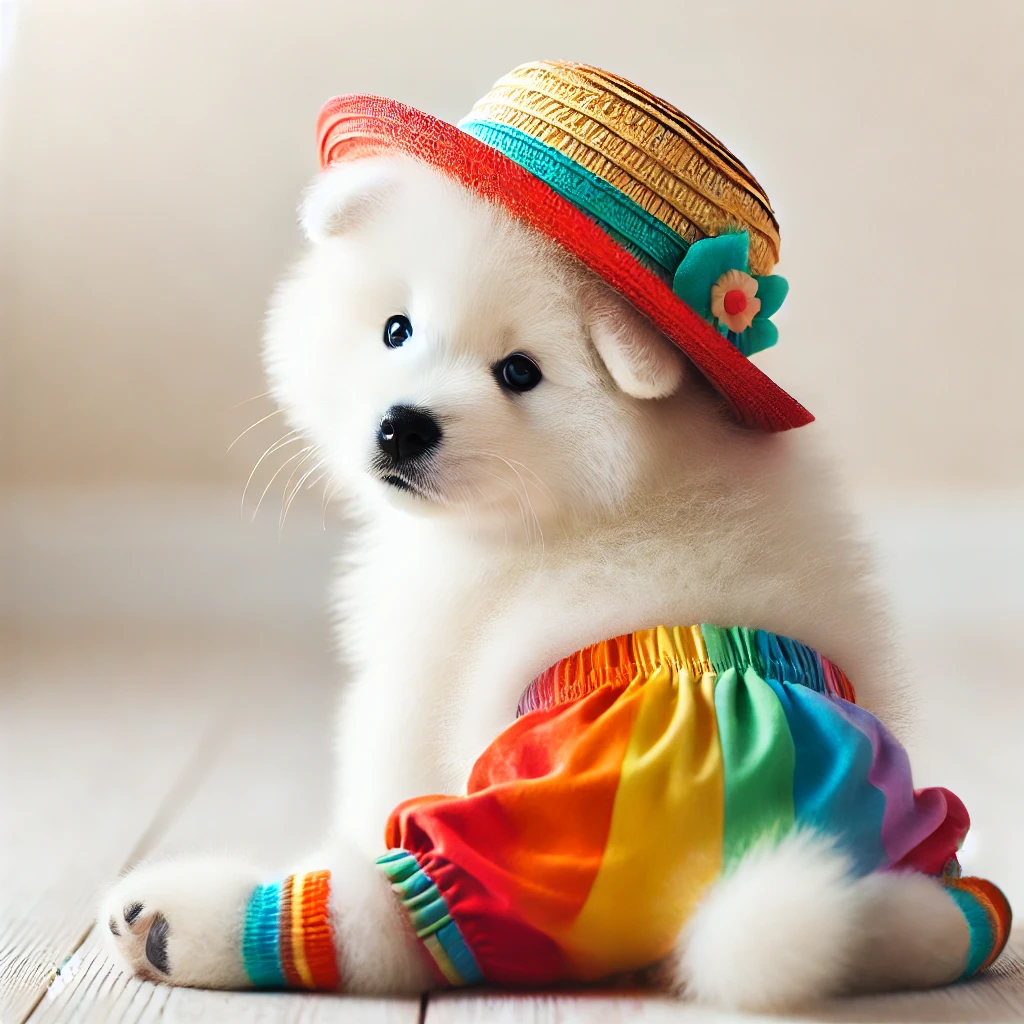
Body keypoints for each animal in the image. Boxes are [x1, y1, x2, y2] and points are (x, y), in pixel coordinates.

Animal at [99, 157, 970, 1007]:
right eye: (395, 330)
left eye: (519, 372)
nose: (402, 426)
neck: (603, 491)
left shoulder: (422, 671)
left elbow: (377, 767)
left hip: (515, 841)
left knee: (377, 925)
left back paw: (170, 923)